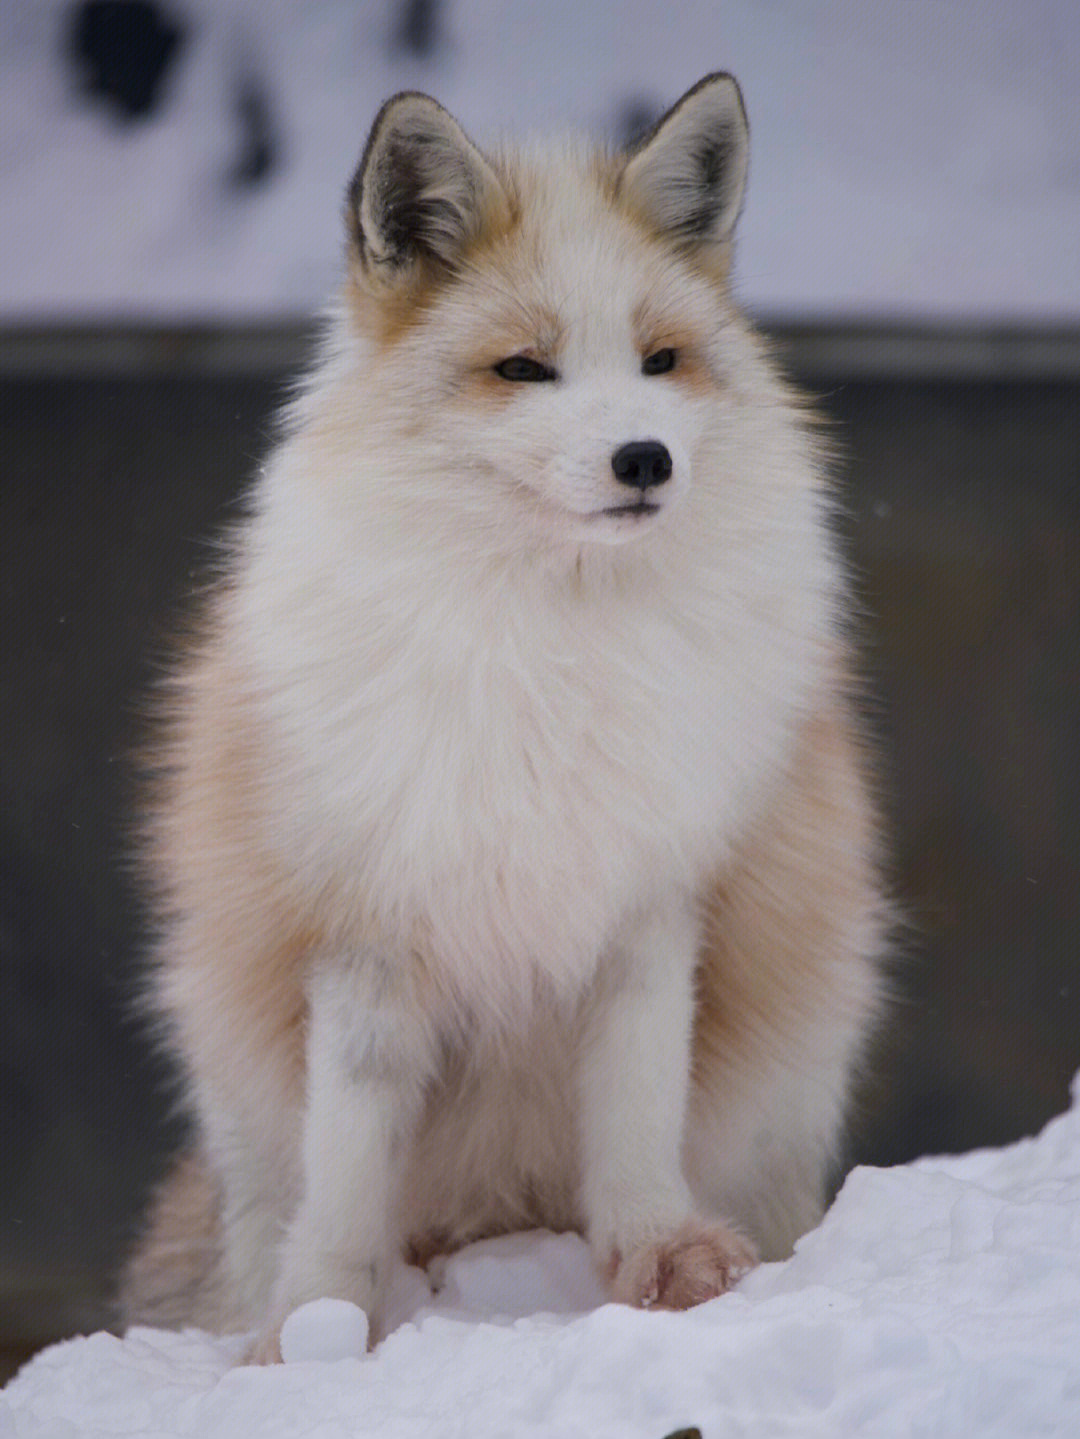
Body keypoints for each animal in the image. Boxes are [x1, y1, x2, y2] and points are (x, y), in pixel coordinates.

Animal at [122, 75, 891, 1358]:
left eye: (661, 360)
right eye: (524, 368)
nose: (646, 458)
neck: (550, 656)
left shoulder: (649, 901)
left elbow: (635, 1120)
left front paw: (658, 1259)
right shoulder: (365, 928)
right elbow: (348, 1177)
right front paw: (317, 1335)